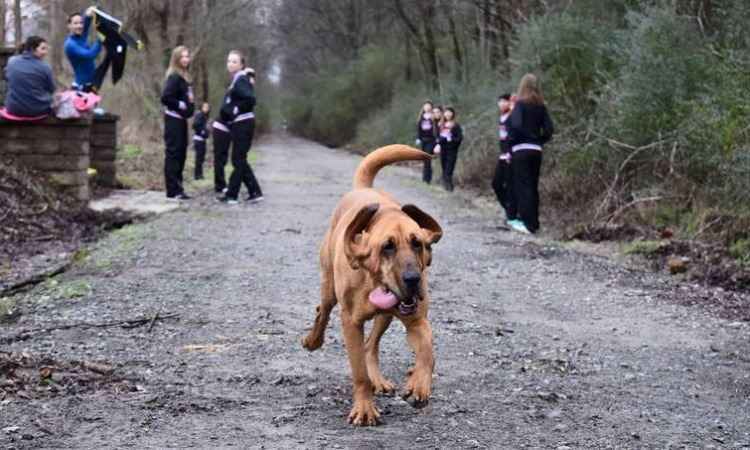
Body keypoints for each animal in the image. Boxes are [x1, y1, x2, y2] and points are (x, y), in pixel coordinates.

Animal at [302, 144, 444, 426]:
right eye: (387, 247)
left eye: (418, 244)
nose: (413, 280)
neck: (372, 280)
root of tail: (362, 188)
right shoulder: (351, 323)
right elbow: (359, 373)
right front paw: (365, 409)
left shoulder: (417, 321)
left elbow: (427, 351)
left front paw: (419, 385)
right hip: (329, 290)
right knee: (322, 312)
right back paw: (313, 340)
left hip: (385, 316)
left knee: (371, 345)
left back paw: (379, 379)